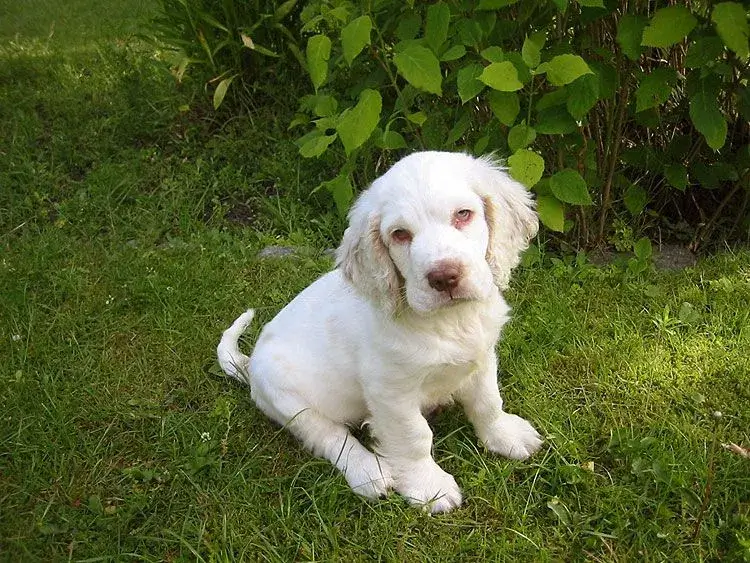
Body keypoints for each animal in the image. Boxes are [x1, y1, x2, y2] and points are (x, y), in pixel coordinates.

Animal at [220, 152, 544, 512]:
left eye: (463, 214)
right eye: (400, 234)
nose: (444, 277)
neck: (449, 321)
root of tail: (250, 364)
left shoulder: (482, 355)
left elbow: (488, 400)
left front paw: (505, 436)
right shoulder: (390, 392)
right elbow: (414, 436)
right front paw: (429, 487)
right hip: (286, 397)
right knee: (328, 436)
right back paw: (368, 472)